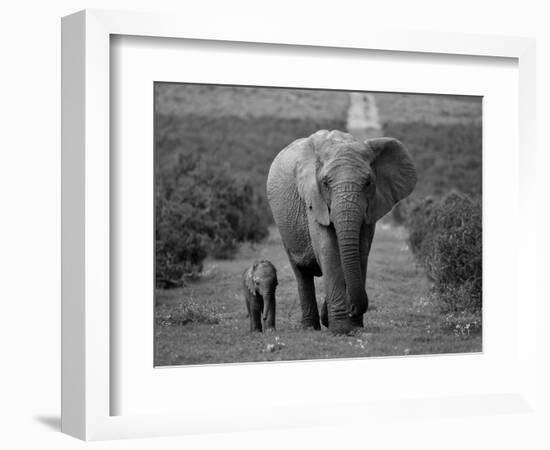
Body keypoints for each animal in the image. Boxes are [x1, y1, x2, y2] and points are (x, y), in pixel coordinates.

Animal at [268, 129, 418, 334]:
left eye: (368, 183)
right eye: (325, 183)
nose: (352, 308)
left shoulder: (371, 207)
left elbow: (361, 252)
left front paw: (354, 327)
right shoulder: (314, 201)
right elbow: (329, 250)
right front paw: (340, 330)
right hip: (284, 226)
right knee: (301, 273)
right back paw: (310, 328)